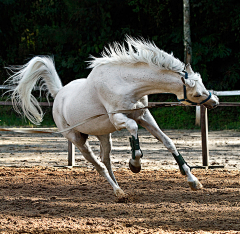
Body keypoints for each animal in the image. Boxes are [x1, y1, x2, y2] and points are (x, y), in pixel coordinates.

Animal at [5, 36, 219, 197]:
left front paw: (193, 180)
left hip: (103, 135)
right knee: (98, 165)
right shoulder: (119, 120)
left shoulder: (144, 116)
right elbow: (134, 132)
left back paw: (120, 190)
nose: (214, 102)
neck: (124, 83)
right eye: (197, 94)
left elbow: (168, 143)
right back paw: (118, 192)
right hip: (77, 140)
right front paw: (135, 164)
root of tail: (59, 95)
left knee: (106, 161)